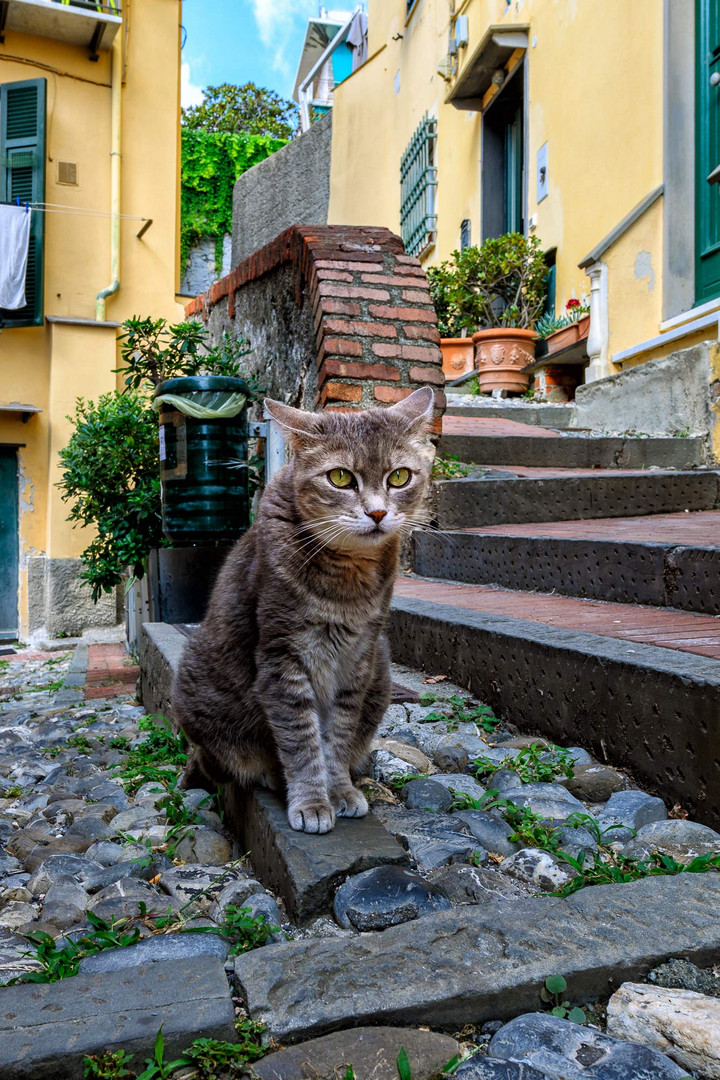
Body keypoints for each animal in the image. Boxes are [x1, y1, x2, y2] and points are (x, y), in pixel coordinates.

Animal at [171, 388, 436, 833]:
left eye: (399, 476)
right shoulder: (282, 656)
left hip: (381, 670)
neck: (347, 581)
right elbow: (301, 739)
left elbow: (338, 737)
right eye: (341, 477)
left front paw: (340, 790)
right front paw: (312, 802)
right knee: (218, 762)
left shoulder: (359, 658)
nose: (378, 512)